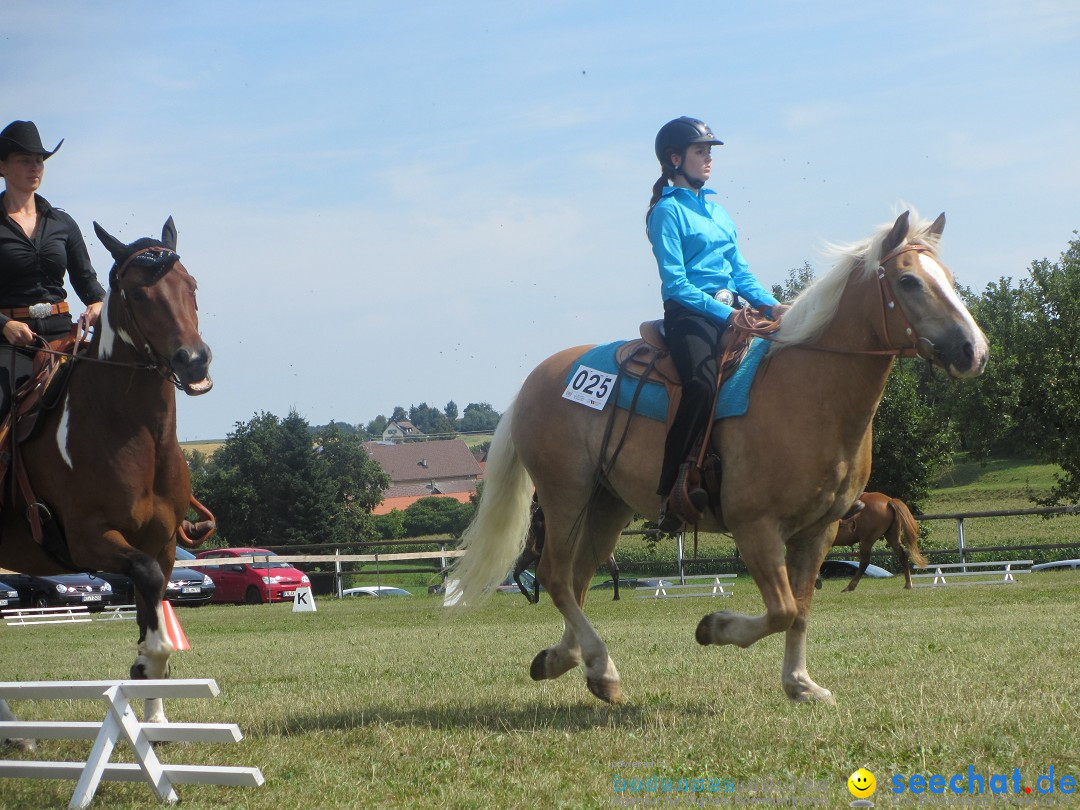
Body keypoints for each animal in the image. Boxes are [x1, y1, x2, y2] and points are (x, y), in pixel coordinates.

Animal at [0, 219, 212, 738]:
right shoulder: (90, 540)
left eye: (191, 286)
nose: (194, 360)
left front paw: (156, 717)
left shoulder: (161, 545)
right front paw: (145, 665)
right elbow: (149, 600)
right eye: (137, 294)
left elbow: (152, 606)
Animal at [447, 209, 989, 704]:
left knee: (577, 581)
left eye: (949, 278)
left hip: (605, 507)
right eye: (908, 281)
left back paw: (569, 661)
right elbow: (782, 609)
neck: (808, 389)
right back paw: (602, 668)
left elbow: (801, 610)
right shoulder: (756, 527)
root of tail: (535, 380)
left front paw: (801, 684)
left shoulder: (820, 530)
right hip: (566, 497)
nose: (974, 350)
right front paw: (714, 626)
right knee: (556, 578)